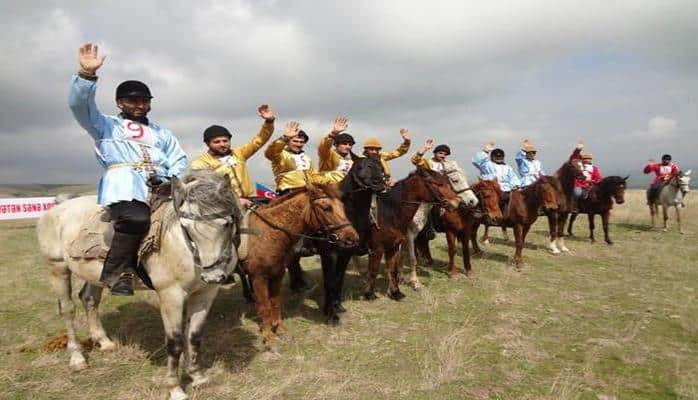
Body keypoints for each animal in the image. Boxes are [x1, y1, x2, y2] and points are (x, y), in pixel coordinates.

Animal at [36, 170, 241, 398]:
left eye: (227, 223)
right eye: (186, 227)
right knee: (68, 310)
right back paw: (77, 358)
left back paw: (104, 342)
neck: (183, 245)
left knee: (89, 299)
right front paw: (175, 389)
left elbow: (194, 337)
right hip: (58, 268)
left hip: (94, 275)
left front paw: (198, 377)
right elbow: (175, 342)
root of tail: (58, 208)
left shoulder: (206, 293)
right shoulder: (171, 296)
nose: (213, 275)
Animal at [241, 183, 358, 346]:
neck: (267, 234)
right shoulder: (259, 277)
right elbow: (265, 306)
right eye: (326, 207)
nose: (352, 238)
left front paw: (279, 330)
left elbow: (275, 302)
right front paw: (269, 338)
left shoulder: (277, 275)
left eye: (342, 206)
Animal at [362, 167, 460, 302]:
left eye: (449, 182)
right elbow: (409, 258)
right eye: (438, 183)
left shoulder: (399, 241)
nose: (457, 202)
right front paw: (415, 283)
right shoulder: (385, 245)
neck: (389, 212)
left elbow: (397, 262)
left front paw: (398, 286)